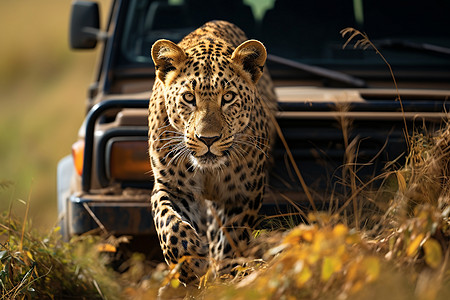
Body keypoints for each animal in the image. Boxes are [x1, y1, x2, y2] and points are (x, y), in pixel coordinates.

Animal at [148, 20, 276, 284]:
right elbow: (168, 222)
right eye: (189, 97)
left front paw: (225, 277)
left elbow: (232, 239)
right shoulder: (174, 187)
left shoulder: (243, 194)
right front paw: (190, 258)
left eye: (228, 97)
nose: (208, 139)